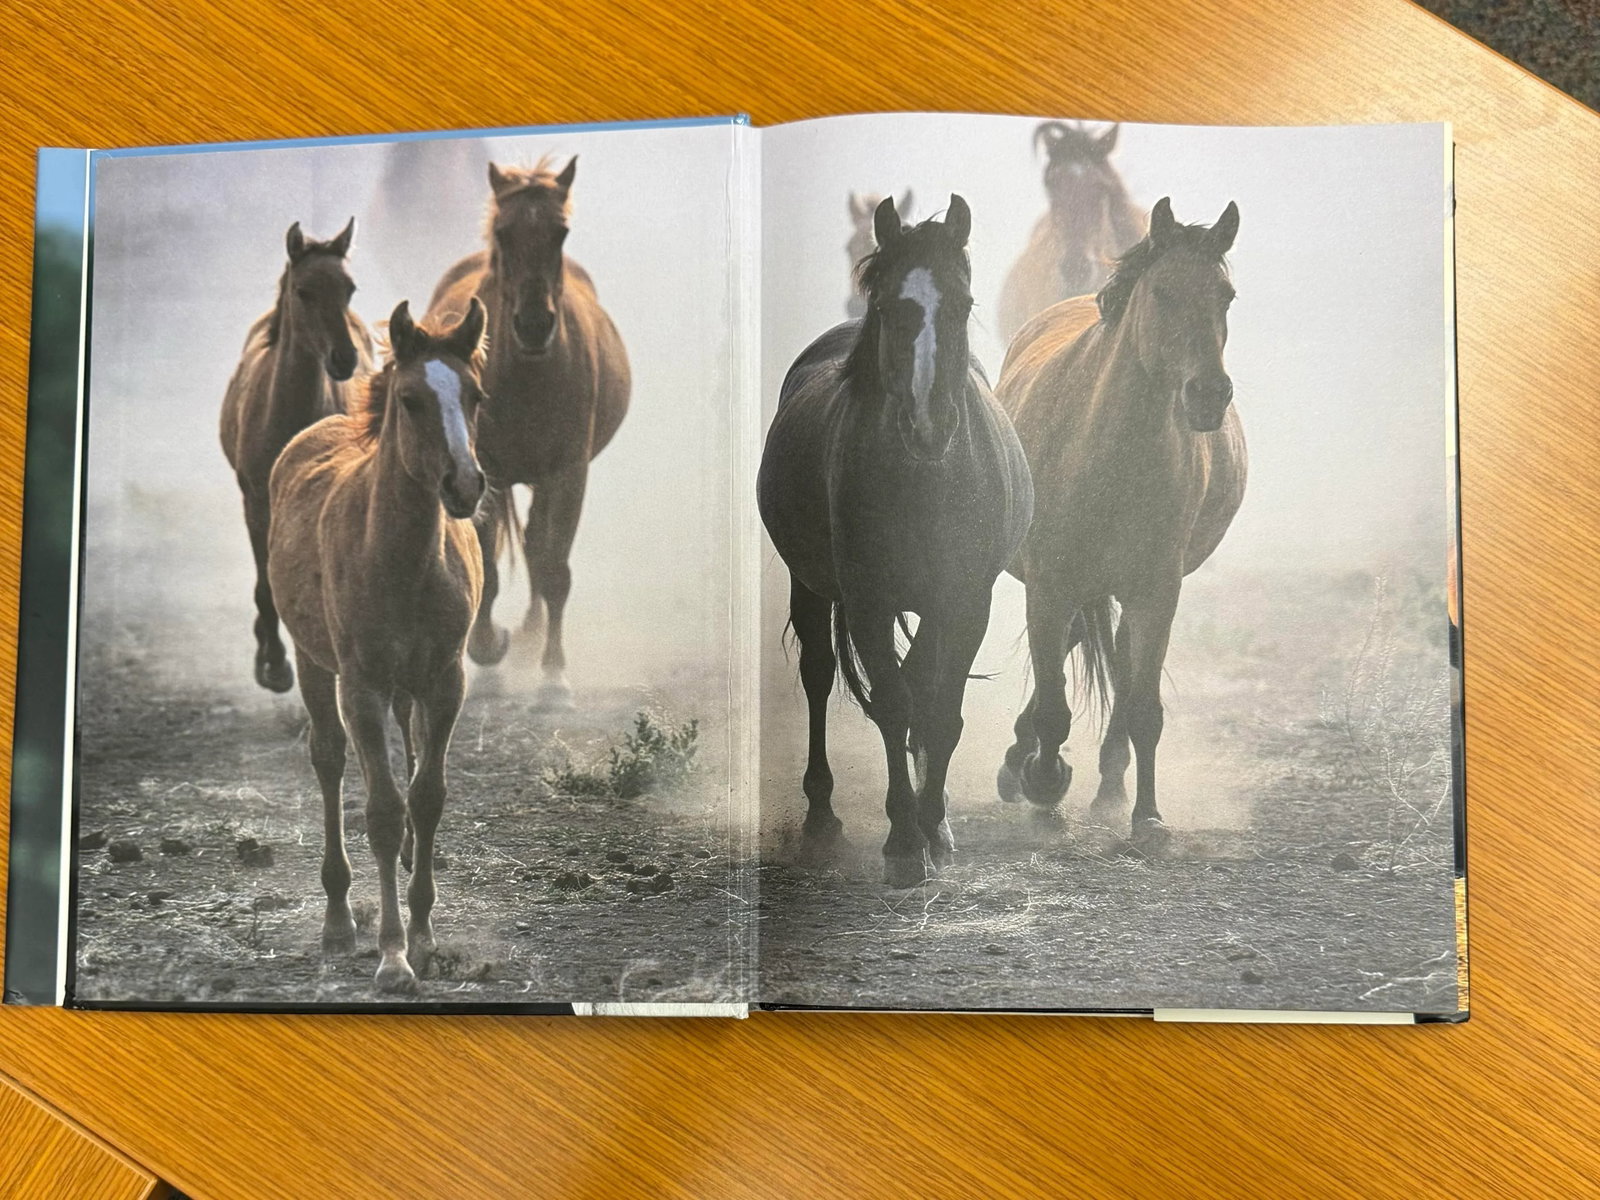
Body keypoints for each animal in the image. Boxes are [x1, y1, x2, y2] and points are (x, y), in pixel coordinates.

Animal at [219, 218, 371, 694]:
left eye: (349, 288)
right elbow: (266, 584)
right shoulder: (255, 501)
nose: (344, 358)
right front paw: (273, 664)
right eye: (304, 291)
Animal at [268, 298, 489, 994]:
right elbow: (385, 811)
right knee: (332, 761)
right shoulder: (358, 684)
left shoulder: (445, 680)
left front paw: (424, 935)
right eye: (411, 399)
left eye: (475, 395)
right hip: (318, 667)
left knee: (407, 747)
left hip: (405, 683)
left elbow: (427, 795)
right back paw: (339, 919)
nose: (464, 484)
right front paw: (393, 957)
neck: (402, 559)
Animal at [427, 156, 630, 708]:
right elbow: (489, 562)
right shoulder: (485, 473)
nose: (535, 325)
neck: (529, 375)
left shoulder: (568, 472)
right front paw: (487, 647)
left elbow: (553, 566)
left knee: (539, 550)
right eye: (504, 232)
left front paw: (553, 677)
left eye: (561, 232)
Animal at [995, 198, 1246, 852]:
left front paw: (1148, 818)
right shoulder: (1049, 584)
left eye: (1226, 295)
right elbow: (1054, 705)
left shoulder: (1157, 590)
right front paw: (1044, 788)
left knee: (1119, 666)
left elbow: (1144, 708)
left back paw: (1106, 785)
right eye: (1162, 291)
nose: (1208, 394)